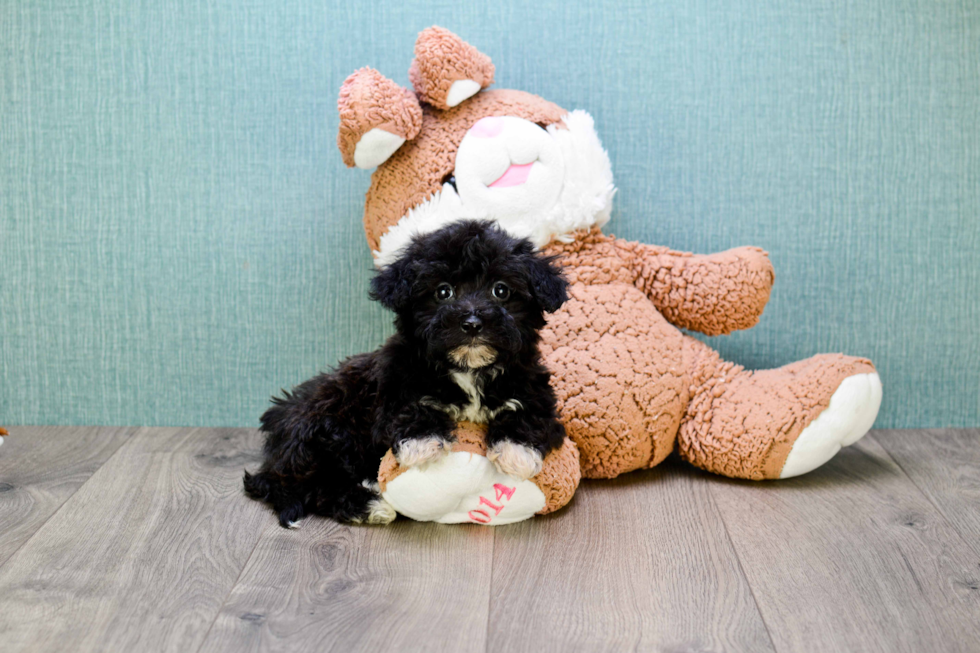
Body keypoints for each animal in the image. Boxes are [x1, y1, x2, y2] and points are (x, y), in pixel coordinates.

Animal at [241, 222, 572, 528]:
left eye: (501, 290)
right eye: (443, 291)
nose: (472, 323)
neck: (469, 370)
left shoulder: (534, 388)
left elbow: (529, 414)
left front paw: (516, 451)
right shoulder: (393, 386)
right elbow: (409, 409)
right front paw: (423, 442)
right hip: (328, 422)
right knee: (313, 485)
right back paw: (369, 504)